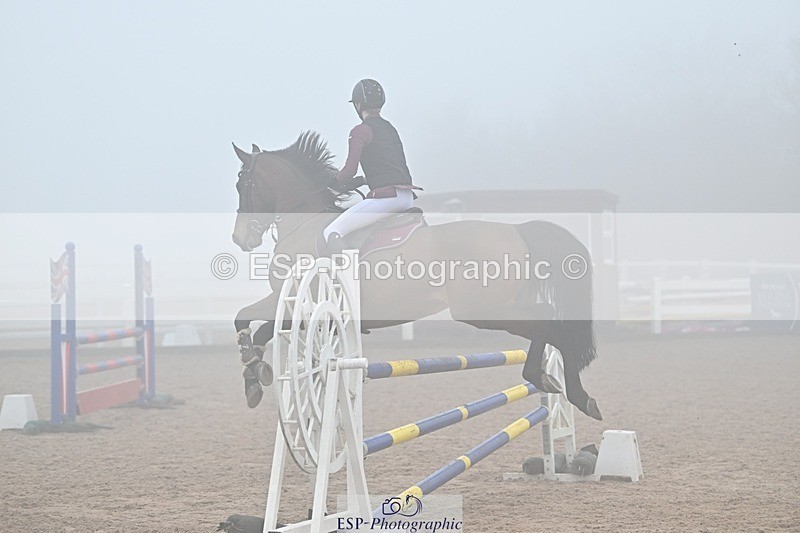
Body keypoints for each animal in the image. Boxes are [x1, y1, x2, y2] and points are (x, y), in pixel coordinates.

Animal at [230, 131, 603, 420]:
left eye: (242, 183)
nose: (239, 239)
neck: (304, 223)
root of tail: (516, 229)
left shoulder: (297, 303)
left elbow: (245, 320)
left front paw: (250, 367)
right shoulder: (302, 311)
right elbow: (258, 327)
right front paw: (254, 374)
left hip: (481, 310)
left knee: (549, 322)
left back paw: (562, 387)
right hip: (504, 305)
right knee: (549, 322)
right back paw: (562, 386)